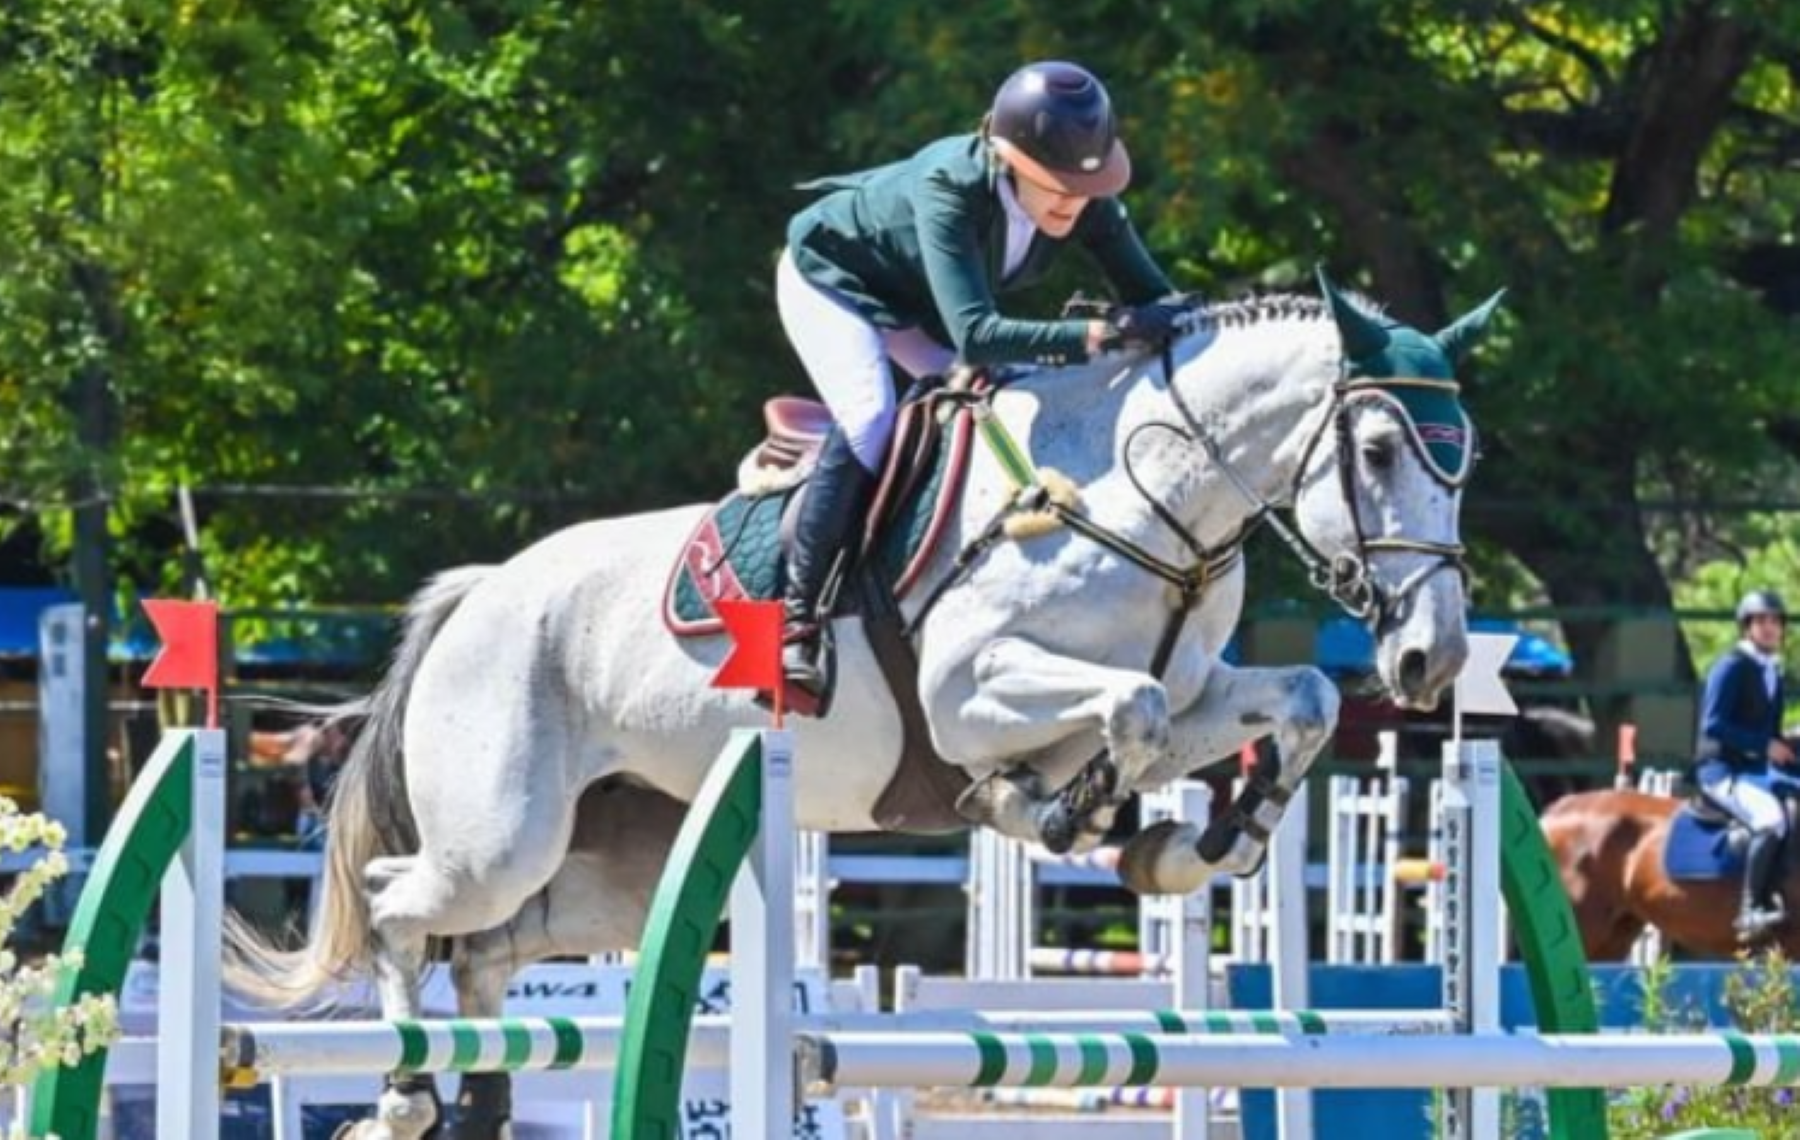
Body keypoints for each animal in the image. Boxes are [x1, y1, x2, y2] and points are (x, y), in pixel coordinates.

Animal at [239, 271, 1504, 1130]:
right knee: (400, 903)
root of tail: (479, 595)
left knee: (492, 954)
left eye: (1466, 459)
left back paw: (478, 1097)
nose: (1431, 662)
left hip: (609, 869)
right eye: (1381, 449)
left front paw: (1194, 844)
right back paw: (406, 1089)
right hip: (501, 835)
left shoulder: (1205, 690)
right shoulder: (970, 695)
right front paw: (1054, 810)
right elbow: (1128, 710)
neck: (1143, 495)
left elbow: (1289, 698)